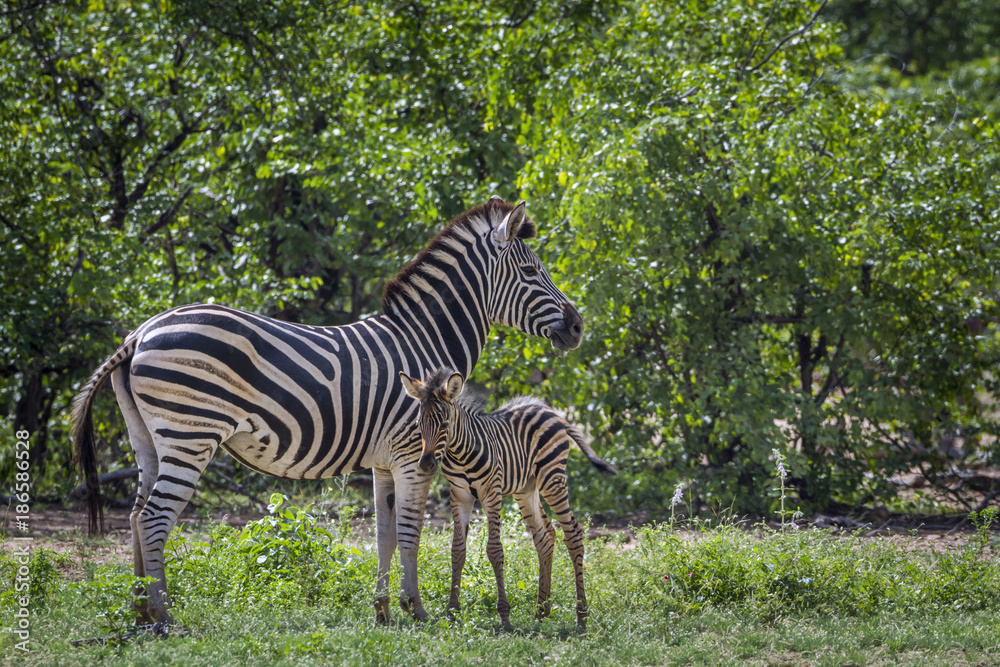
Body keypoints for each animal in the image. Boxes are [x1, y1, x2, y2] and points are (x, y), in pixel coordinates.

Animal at [71, 197, 584, 626]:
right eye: (531, 270)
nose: (578, 327)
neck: (423, 341)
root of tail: (140, 333)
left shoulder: (384, 462)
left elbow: (384, 534)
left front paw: (383, 610)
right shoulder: (413, 455)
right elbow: (411, 532)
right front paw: (416, 608)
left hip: (148, 438)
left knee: (136, 516)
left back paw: (140, 611)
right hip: (190, 433)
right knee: (154, 518)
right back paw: (163, 616)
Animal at [399, 367, 616, 629]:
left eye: (444, 424)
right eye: (419, 424)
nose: (426, 464)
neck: (460, 453)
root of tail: (548, 410)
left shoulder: (491, 493)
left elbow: (494, 550)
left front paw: (503, 614)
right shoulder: (459, 496)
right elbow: (457, 550)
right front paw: (452, 611)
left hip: (552, 479)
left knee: (573, 533)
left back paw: (581, 615)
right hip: (526, 488)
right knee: (545, 536)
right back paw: (541, 611)